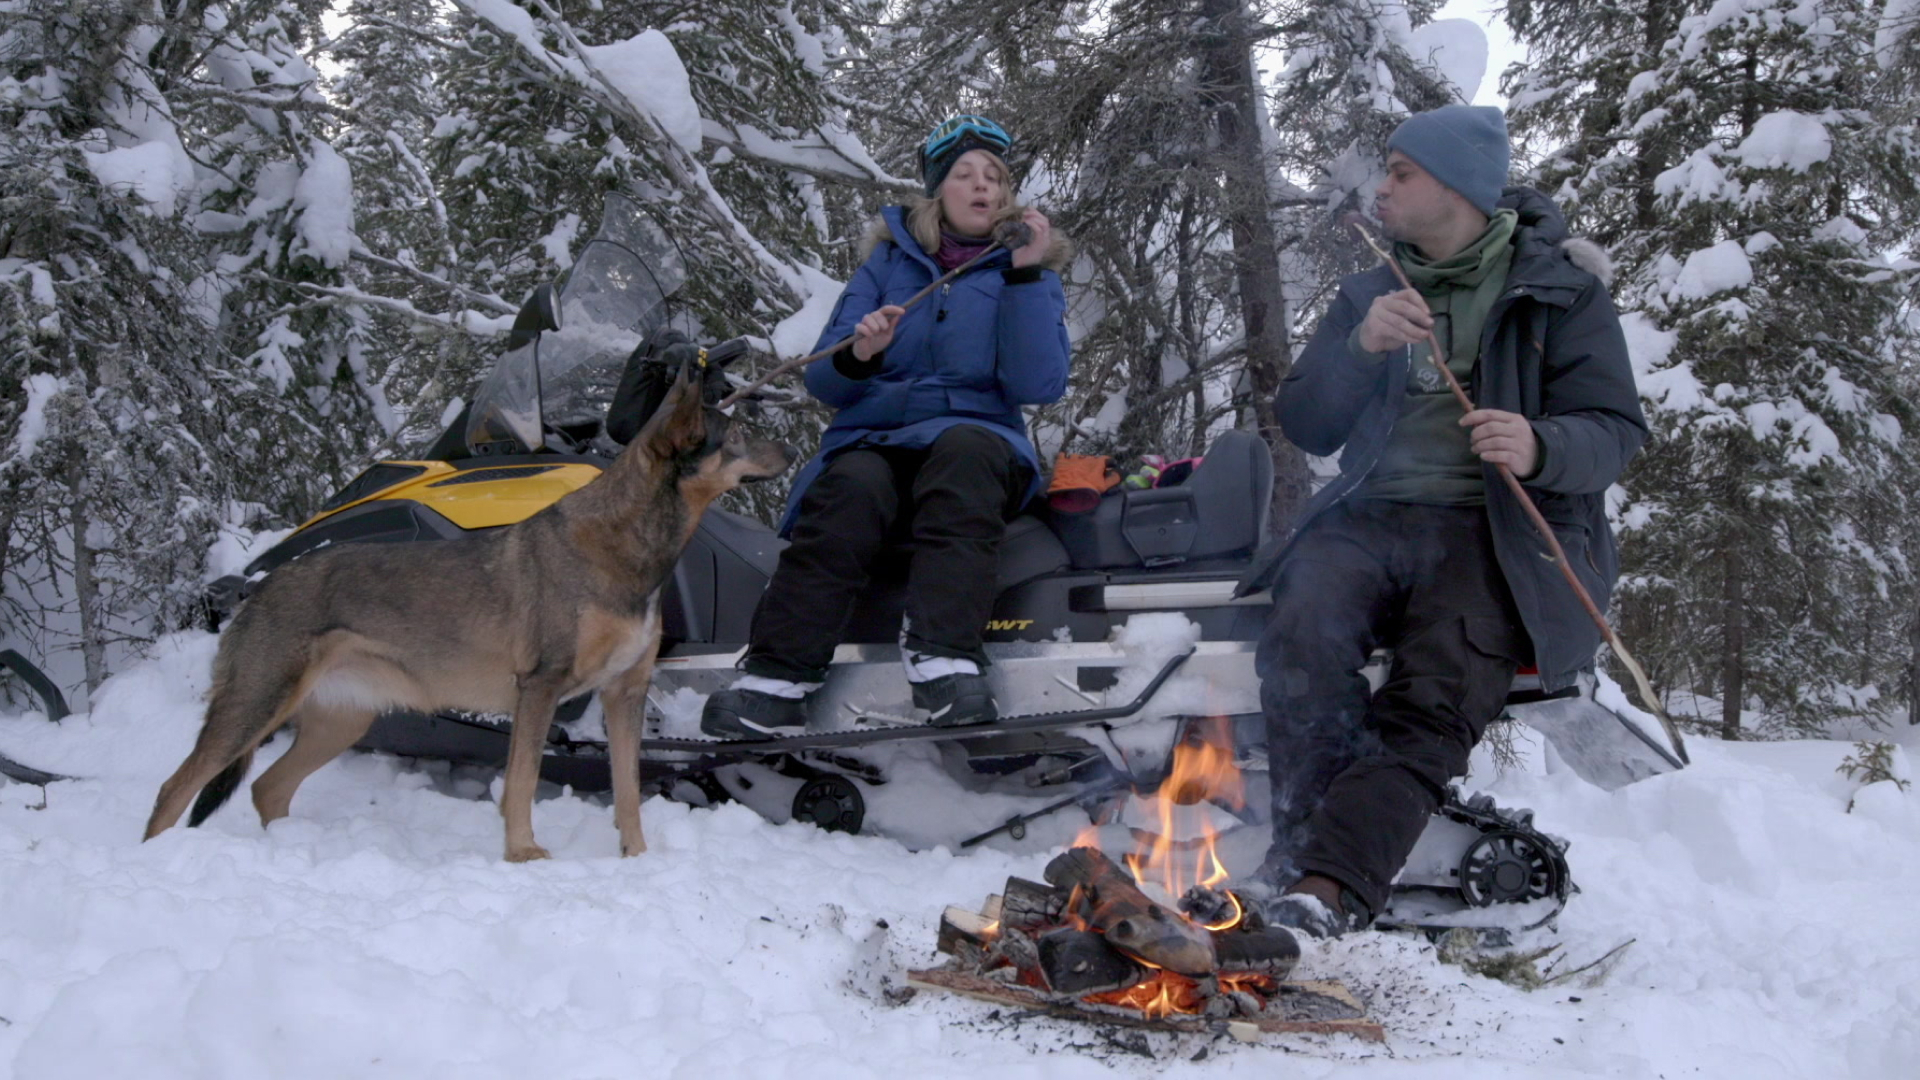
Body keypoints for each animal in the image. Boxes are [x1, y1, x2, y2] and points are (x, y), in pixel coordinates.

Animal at [140, 368, 787, 857]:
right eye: (736, 433)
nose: (790, 447)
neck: (626, 547)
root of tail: (262, 584)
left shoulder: (624, 693)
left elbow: (628, 794)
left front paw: (638, 860)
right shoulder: (541, 688)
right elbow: (521, 784)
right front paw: (523, 855)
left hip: (339, 721)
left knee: (267, 789)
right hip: (257, 705)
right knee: (174, 788)